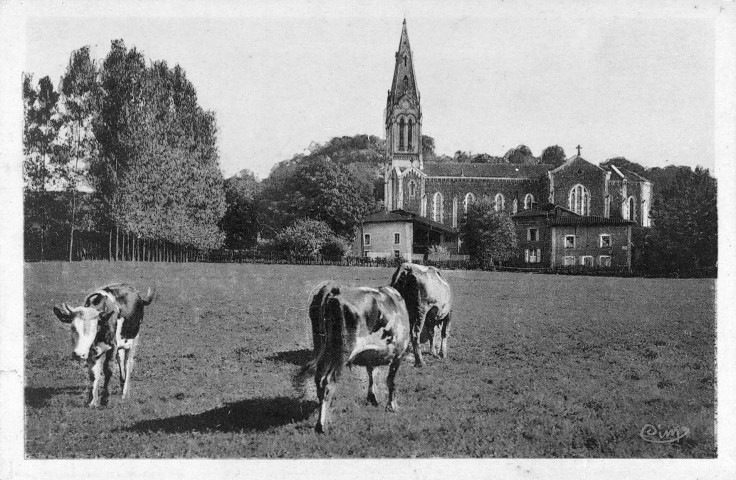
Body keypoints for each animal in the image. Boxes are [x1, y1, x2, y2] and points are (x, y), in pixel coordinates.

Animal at [302, 284, 412, 434]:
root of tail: (334, 291)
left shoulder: (370, 355)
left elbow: (372, 373)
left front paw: (372, 397)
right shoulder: (398, 354)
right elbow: (391, 381)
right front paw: (392, 406)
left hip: (324, 352)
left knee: (318, 380)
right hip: (341, 354)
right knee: (328, 383)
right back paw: (322, 425)